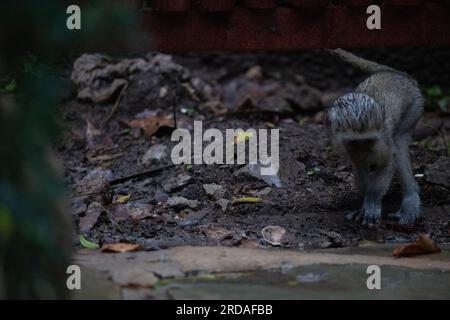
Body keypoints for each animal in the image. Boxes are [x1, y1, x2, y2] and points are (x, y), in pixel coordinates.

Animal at [326, 48, 424, 228]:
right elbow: (358, 163)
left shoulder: (380, 143)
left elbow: (391, 159)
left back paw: (411, 197)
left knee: (398, 141)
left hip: (415, 107)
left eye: (368, 141)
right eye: (354, 142)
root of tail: (401, 76)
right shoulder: (343, 145)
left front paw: (372, 201)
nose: (363, 151)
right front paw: (363, 205)